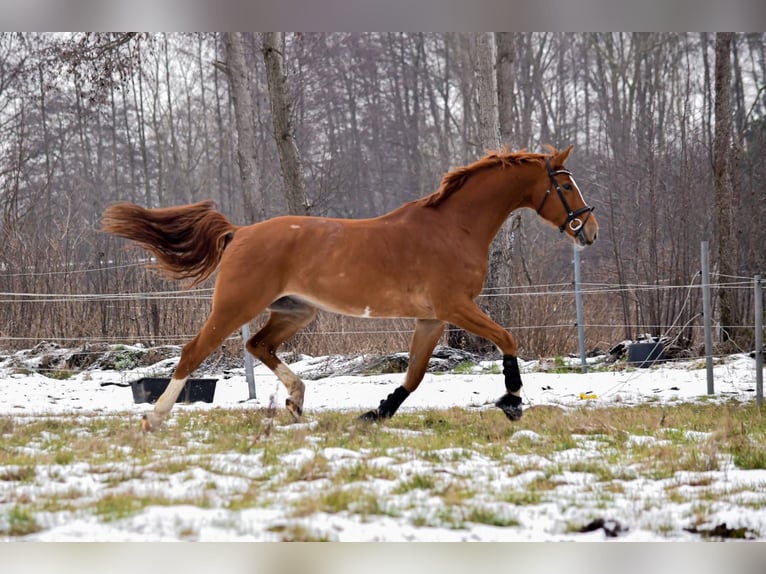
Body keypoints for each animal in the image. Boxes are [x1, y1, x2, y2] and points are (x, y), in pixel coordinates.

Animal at [102, 144, 600, 432]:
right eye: (566, 185)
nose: (590, 231)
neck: (453, 228)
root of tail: (239, 233)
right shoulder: (454, 307)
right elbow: (507, 339)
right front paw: (512, 401)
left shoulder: (431, 318)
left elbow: (414, 375)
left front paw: (377, 411)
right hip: (235, 307)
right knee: (193, 352)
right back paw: (154, 418)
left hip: (295, 310)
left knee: (261, 346)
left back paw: (297, 400)